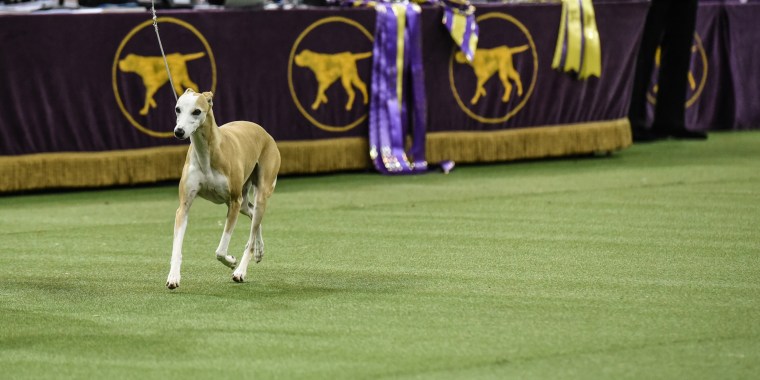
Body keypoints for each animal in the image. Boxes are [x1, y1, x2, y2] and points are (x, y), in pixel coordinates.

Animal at [168, 89, 280, 290]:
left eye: (197, 111)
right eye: (177, 109)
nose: (179, 131)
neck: (207, 153)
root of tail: (263, 131)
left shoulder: (233, 202)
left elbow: (220, 250)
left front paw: (231, 260)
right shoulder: (184, 206)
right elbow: (177, 247)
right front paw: (173, 277)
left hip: (259, 192)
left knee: (252, 229)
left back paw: (241, 271)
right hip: (243, 201)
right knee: (253, 215)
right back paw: (259, 250)